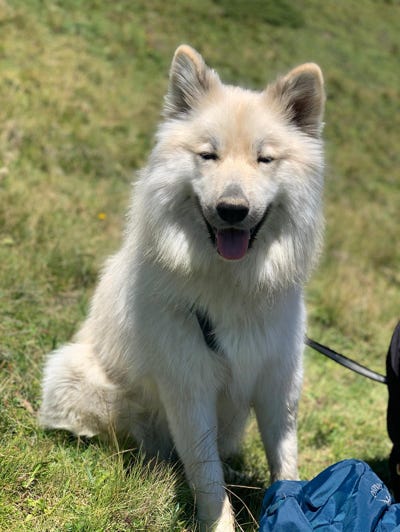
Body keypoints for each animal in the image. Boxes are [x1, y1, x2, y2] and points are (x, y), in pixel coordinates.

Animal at [40, 45, 325, 531]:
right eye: (208, 155)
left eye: (264, 159)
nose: (232, 209)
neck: (232, 283)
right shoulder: (190, 390)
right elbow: (207, 479)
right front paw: (220, 522)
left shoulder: (278, 384)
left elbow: (285, 463)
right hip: (78, 376)